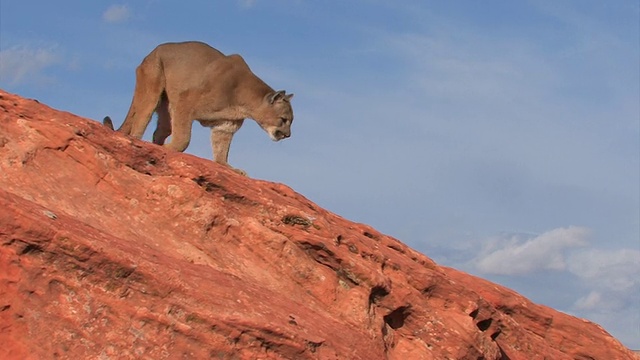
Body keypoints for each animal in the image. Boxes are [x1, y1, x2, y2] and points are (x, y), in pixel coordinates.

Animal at [105, 41, 296, 176]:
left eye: (291, 121)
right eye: (284, 119)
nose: (288, 135)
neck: (244, 100)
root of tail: (150, 53)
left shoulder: (225, 126)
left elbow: (221, 149)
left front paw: (227, 166)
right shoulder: (185, 102)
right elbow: (184, 138)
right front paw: (169, 148)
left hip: (166, 110)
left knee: (159, 130)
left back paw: (156, 145)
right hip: (152, 90)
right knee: (140, 120)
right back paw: (140, 143)